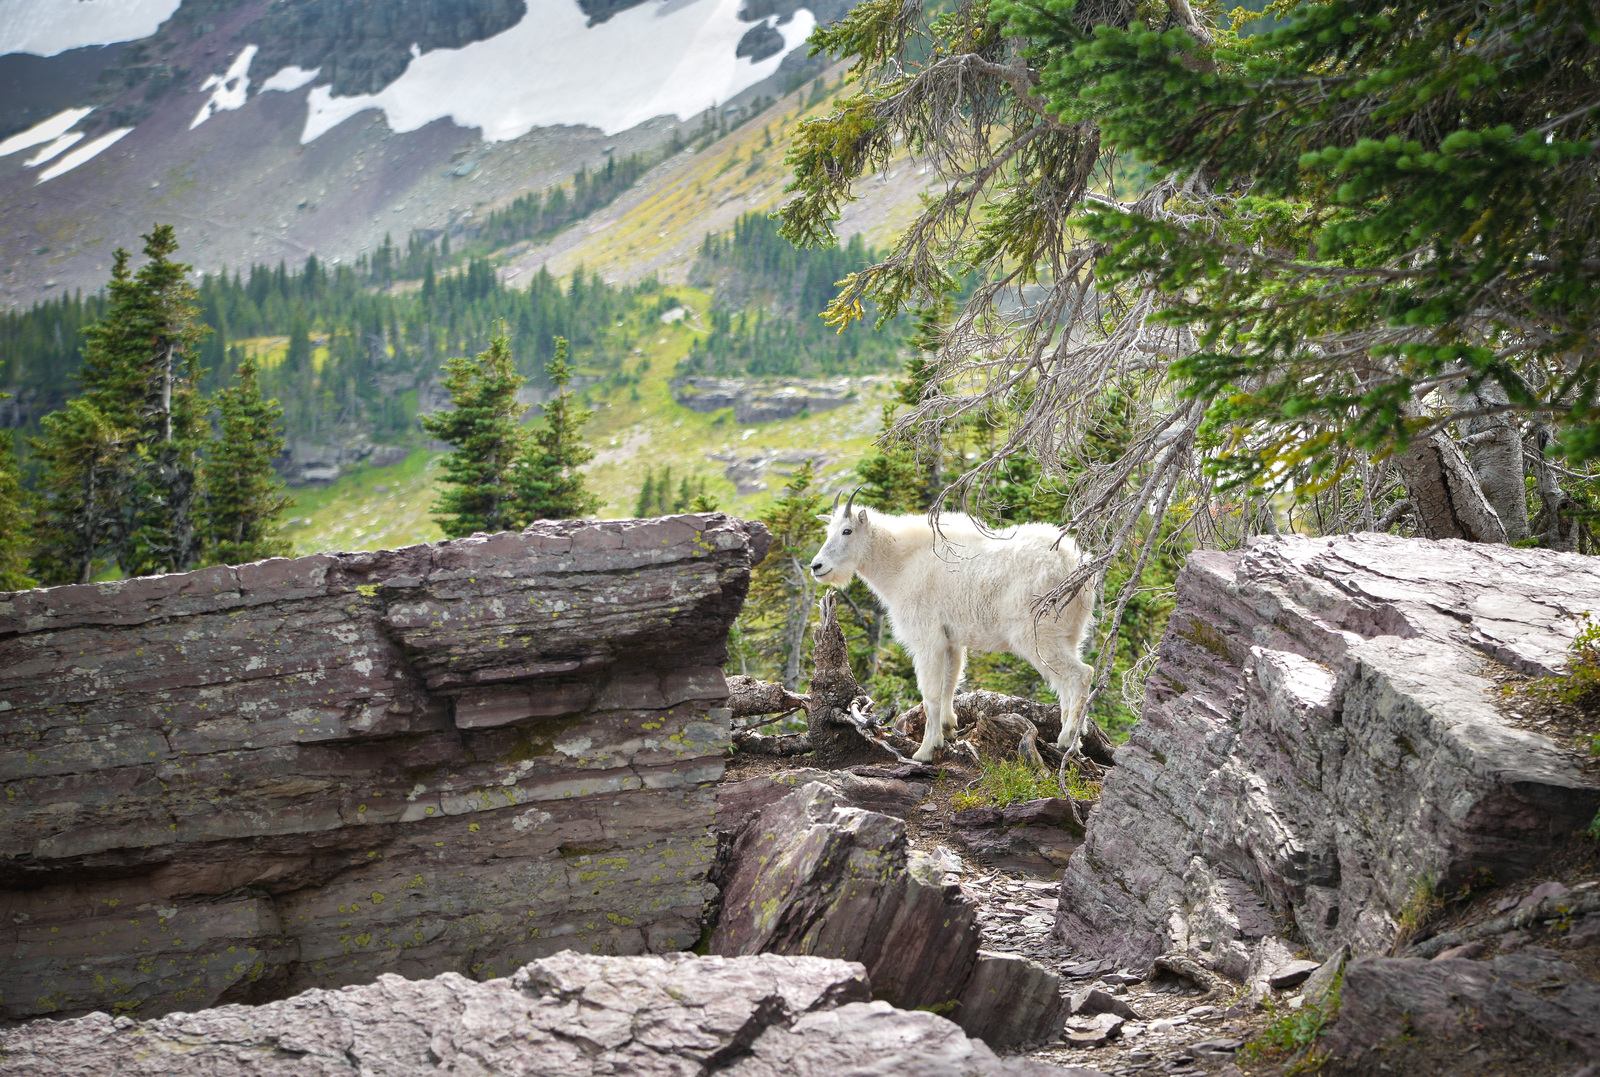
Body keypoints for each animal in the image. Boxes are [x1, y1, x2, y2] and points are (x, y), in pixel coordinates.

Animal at [810, 489, 1096, 763]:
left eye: (847, 531)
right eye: (827, 531)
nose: (816, 566)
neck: (901, 564)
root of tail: (1075, 564)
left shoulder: (927, 639)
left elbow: (931, 694)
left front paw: (926, 750)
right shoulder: (951, 641)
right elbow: (950, 683)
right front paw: (947, 730)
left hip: (1036, 635)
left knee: (1081, 674)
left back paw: (1068, 738)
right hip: (1070, 634)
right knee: (1066, 683)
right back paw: (1075, 736)